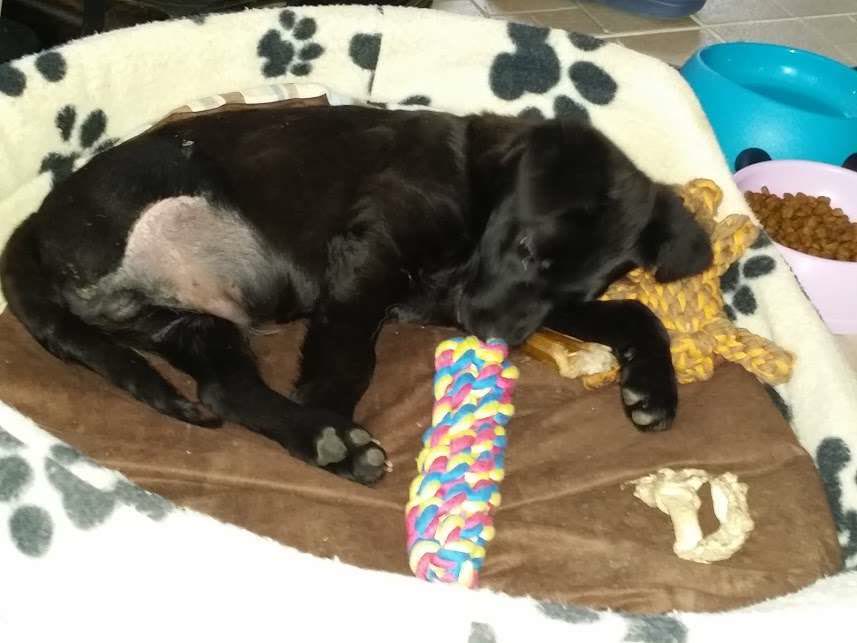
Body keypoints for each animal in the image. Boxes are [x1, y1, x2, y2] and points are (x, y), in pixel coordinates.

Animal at [0, 105, 712, 484]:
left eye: (575, 283)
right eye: (528, 250)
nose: (494, 339)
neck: (479, 187)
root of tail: (35, 223)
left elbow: (637, 311)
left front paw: (652, 390)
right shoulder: (372, 257)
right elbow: (347, 357)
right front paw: (335, 416)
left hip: (183, 323)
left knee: (225, 388)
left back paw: (315, 438)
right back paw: (332, 440)